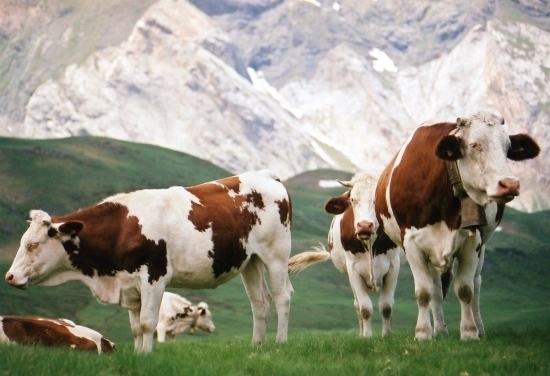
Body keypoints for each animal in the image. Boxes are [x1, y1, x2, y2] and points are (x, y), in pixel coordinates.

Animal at [5, 170, 298, 352]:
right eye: (23, 242)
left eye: (33, 244)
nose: (9, 276)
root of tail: (265, 175)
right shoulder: (129, 285)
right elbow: (135, 328)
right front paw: (137, 356)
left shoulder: (154, 278)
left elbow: (147, 323)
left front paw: (146, 356)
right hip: (251, 261)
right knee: (259, 303)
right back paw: (256, 345)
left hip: (276, 255)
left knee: (282, 296)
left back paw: (281, 342)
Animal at [288, 173, 402, 338]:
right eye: (353, 200)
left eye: (377, 199)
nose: (364, 225)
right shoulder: (353, 270)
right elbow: (365, 308)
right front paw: (367, 337)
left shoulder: (393, 266)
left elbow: (386, 306)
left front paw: (387, 336)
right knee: (357, 305)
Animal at [376, 109, 544, 340]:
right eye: (474, 145)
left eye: (508, 147)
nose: (510, 184)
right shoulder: (411, 242)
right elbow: (424, 292)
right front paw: (423, 334)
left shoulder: (473, 240)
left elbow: (465, 289)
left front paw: (470, 332)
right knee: (436, 289)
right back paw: (440, 330)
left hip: (483, 243)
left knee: (476, 283)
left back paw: (478, 328)